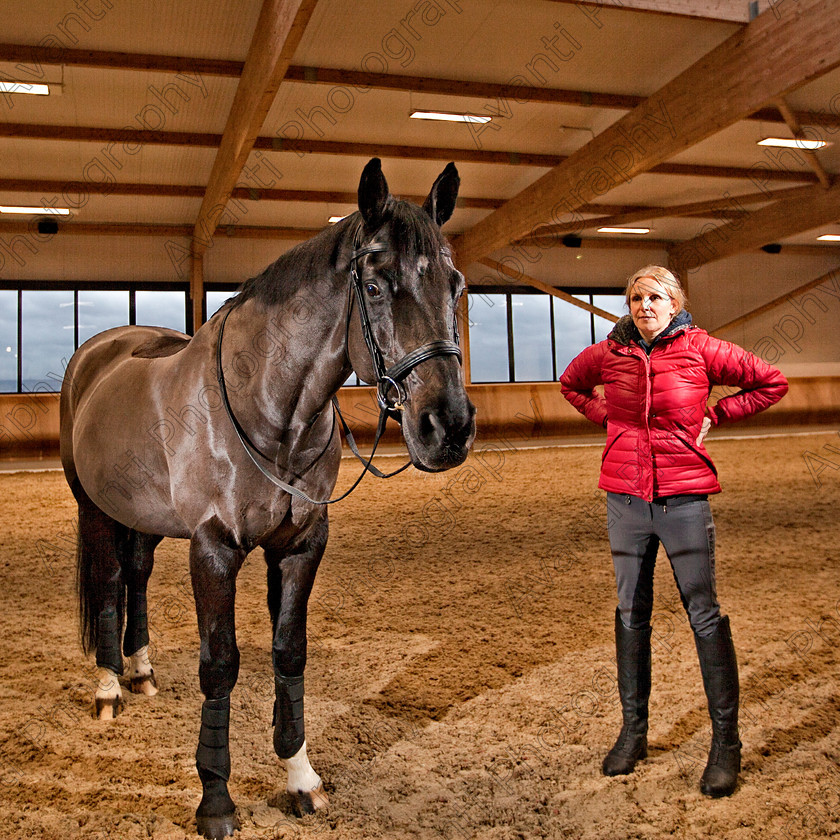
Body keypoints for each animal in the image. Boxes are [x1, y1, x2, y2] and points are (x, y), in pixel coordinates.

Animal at [59, 159, 476, 840]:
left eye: (455, 284)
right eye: (376, 284)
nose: (450, 427)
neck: (271, 407)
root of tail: (99, 351)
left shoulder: (300, 546)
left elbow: (289, 652)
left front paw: (300, 778)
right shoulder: (214, 549)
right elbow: (220, 664)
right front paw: (216, 800)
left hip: (142, 516)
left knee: (137, 573)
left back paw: (141, 673)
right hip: (95, 510)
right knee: (111, 578)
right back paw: (109, 690)